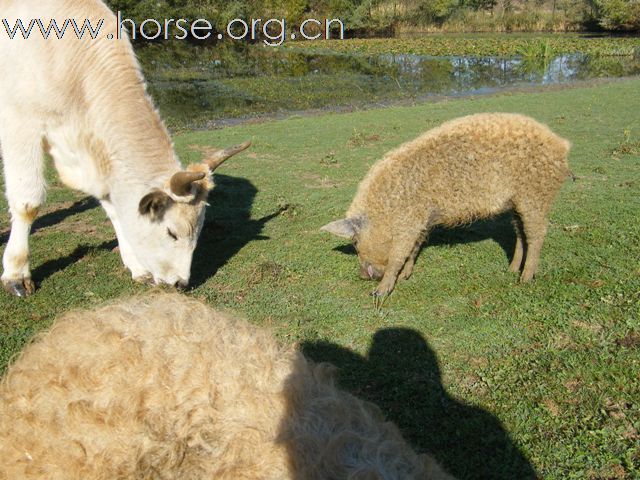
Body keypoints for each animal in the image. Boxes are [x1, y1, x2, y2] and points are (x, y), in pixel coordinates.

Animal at [0, 0, 250, 294]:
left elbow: (116, 209)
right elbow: (27, 203)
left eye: (199, 231)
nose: (180, 283)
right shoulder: (20, 123)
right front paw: (16, 273)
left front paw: (137, 267)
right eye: (171, 232)